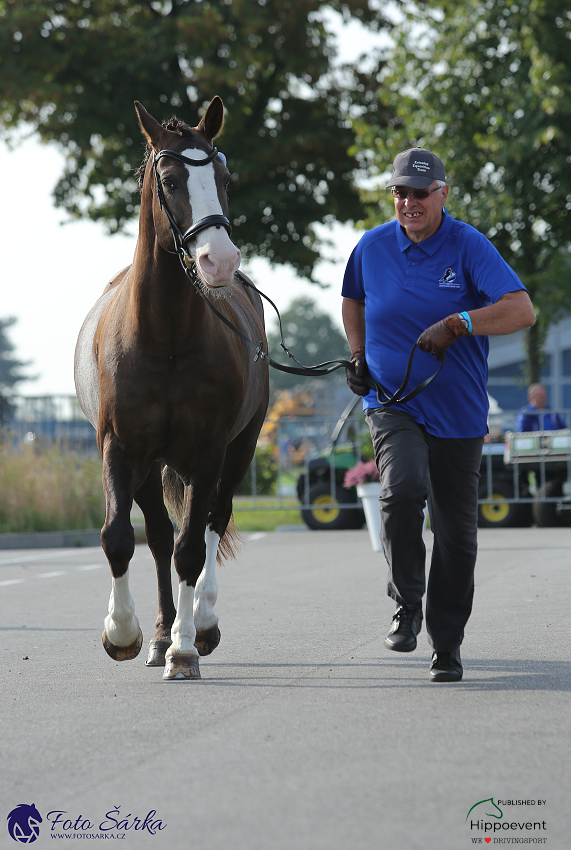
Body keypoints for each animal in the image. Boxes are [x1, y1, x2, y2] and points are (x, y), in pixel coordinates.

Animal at [75, 97, 270, 676]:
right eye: (170, 179)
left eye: (224, 177)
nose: (219, 260)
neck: (164, 337)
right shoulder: (120, 448)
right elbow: (121, 538)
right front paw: (123, 632)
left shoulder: (209, 452)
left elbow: (193, 547)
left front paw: (185, 648)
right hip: (149, 464)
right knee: (161, 536)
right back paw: (162, 633)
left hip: (240, 448)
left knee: (208, 525)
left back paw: (197, 623)